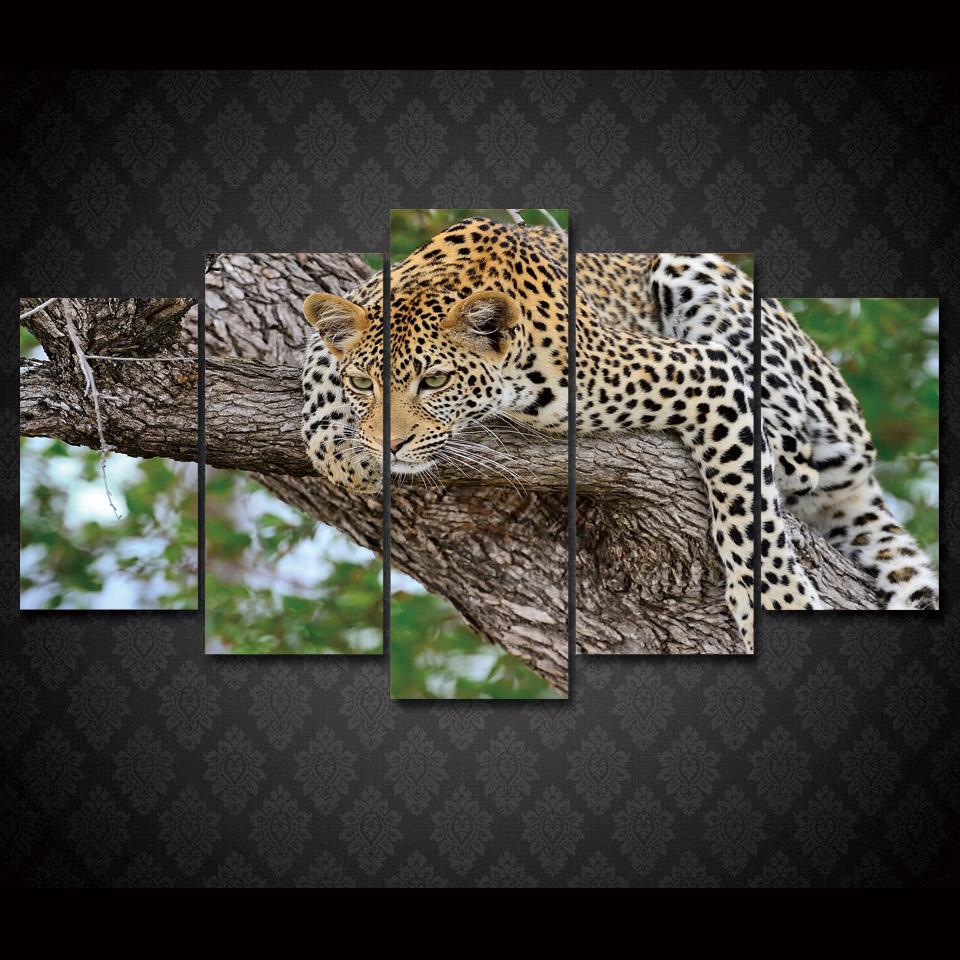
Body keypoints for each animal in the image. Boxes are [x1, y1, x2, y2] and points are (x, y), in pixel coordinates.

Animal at [300, 217, 823, 653]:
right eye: (362, 383)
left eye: (435, 381)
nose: (388, 446)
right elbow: (317, 360)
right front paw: (340, 448)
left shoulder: (707, 372)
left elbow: (749, 515)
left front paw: (780, 602)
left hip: (695, 276)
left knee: (799, 459)